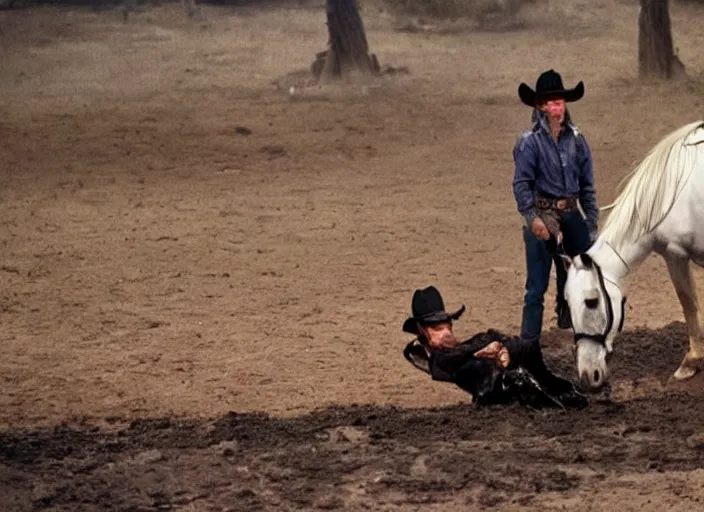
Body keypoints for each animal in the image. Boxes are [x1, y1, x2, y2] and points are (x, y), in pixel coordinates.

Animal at [564, 120, 704, 390]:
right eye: (566, 302)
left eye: (591, 301)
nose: (588, 376)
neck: (673, 191)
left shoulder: (675, 254)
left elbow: (688, 302)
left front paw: (691, 361)